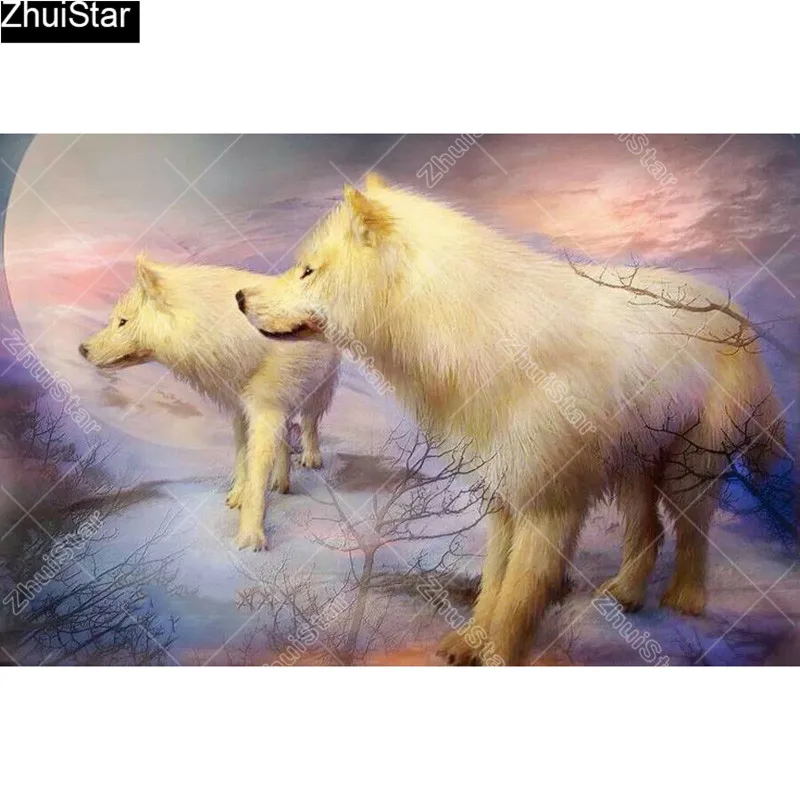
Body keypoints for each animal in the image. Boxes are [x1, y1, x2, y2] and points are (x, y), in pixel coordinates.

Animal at [80, 254, 340, 551]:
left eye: (123, 322)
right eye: (114, 320)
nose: (82, 349)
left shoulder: (266, 412)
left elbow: (257, 473)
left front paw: (250, 539)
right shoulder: (241, 411)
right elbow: (242, 457)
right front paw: (238, 495)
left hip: (318, 394)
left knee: (309, 424)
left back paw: (310, 459)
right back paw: (281, 481)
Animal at [235, 173, 784, 665]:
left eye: (308, 271)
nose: (240, 297)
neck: (474, 334)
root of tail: (734, 310)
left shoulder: (549, 503)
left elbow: (519, 597)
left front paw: (499, 655)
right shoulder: (504, 490)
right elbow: (494, 582)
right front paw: (470, 643)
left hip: (688, 468)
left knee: (692, 529)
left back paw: (685, 603)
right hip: (631, 467)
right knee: (649, 531)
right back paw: (627, 596)